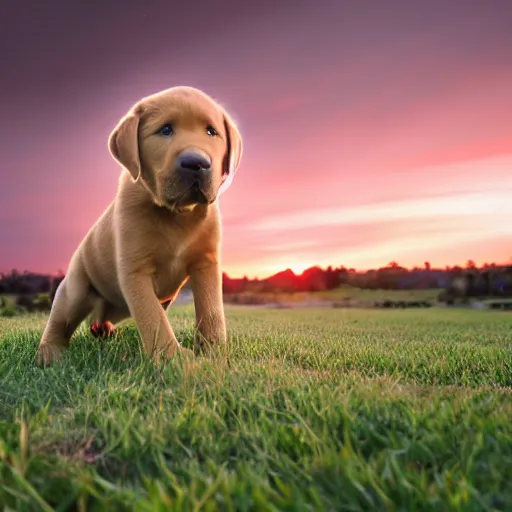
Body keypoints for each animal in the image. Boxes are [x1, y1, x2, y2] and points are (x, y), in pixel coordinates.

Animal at [37, 86, 241, 366]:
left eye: (211, 132)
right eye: (165, 130)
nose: (197, 162)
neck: (178, 214)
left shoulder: (206, 262)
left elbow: (211, 311)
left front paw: (214, 352)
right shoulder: (135, 271)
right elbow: (152, 317)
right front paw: (174, 359)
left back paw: (102, 330)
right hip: (75, 289)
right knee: (59, 321)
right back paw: (49, 353)